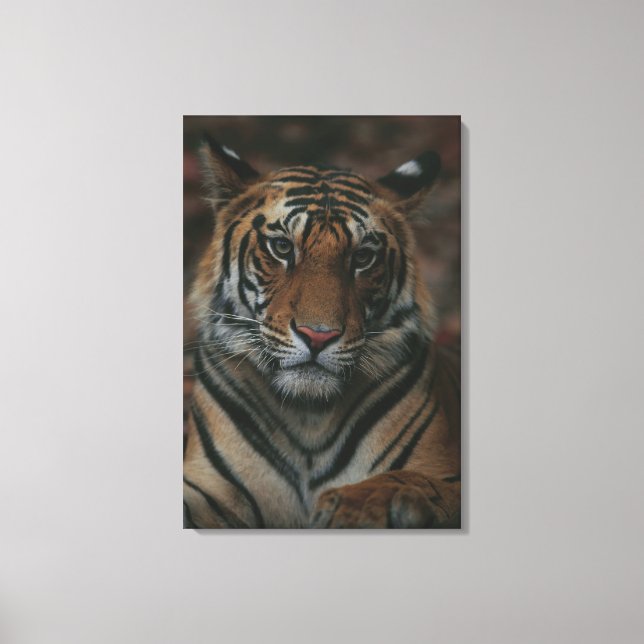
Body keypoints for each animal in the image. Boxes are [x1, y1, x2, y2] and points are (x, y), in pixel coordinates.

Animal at [183, 135, 461, 529]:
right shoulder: (208, 487)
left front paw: (361, 502)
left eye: (363, 257)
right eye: (282, 247)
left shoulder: (443, 470)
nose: (318, 336)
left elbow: (412, 480)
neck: (308, 418)